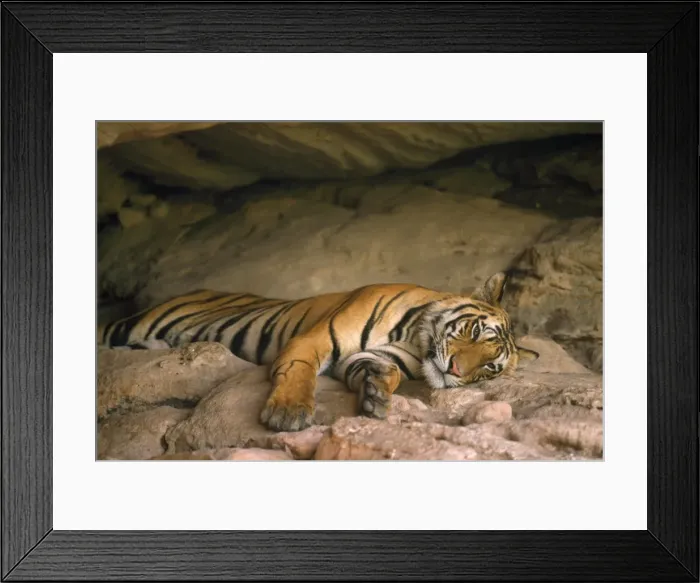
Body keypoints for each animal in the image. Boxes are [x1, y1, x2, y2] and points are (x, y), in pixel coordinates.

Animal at [97, 272, 538, 432]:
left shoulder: (375, 357)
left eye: (489, 368)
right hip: (133, 324)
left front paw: (376, 395)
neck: (415, 336)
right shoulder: (314, 340)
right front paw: (288, 413)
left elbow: (381, 370)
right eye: (474, 330)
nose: (456, 372)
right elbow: (299, 370)